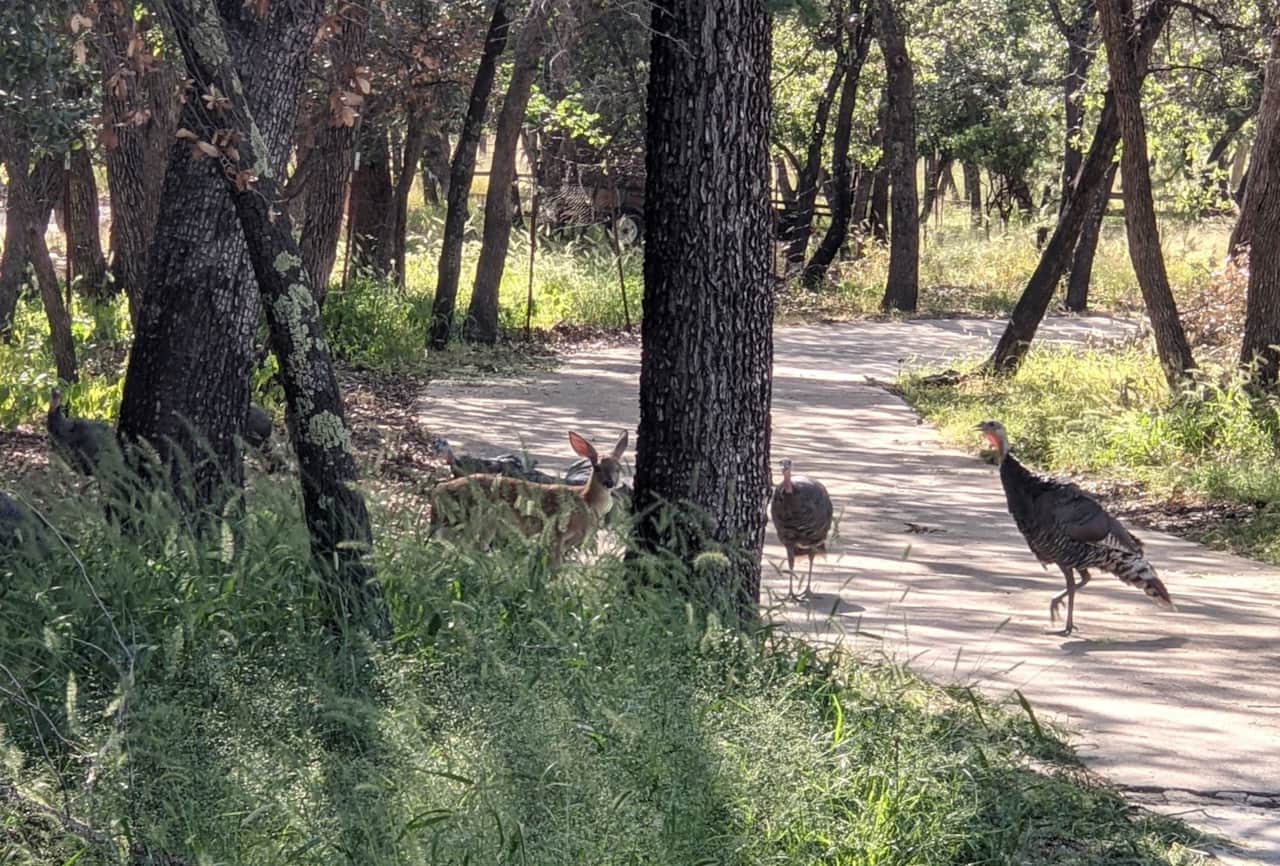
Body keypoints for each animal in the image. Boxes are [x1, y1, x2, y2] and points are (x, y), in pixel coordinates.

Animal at [428, 430, 628, 566]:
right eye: (597, 467)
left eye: (618, 468)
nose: (609, 483)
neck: (585, 500)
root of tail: (437, 493)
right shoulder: (557, 533)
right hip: (477, 523)